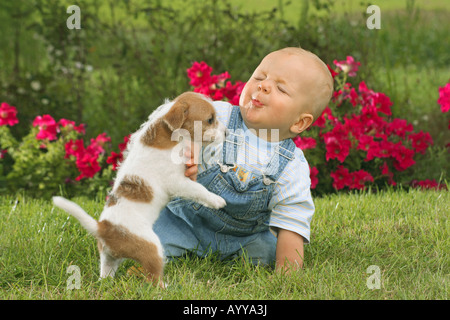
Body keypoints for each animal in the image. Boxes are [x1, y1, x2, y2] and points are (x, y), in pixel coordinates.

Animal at [53, 92, 227, 284]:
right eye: (210, 120)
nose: (227, 132)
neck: (175, 138)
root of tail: (104, 227)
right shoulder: (177, 182)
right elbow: (199, 190)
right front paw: (217, 201)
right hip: (152, 247)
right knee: (154, 278)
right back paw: (168, 286)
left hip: (109, 258)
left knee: (106, 274)